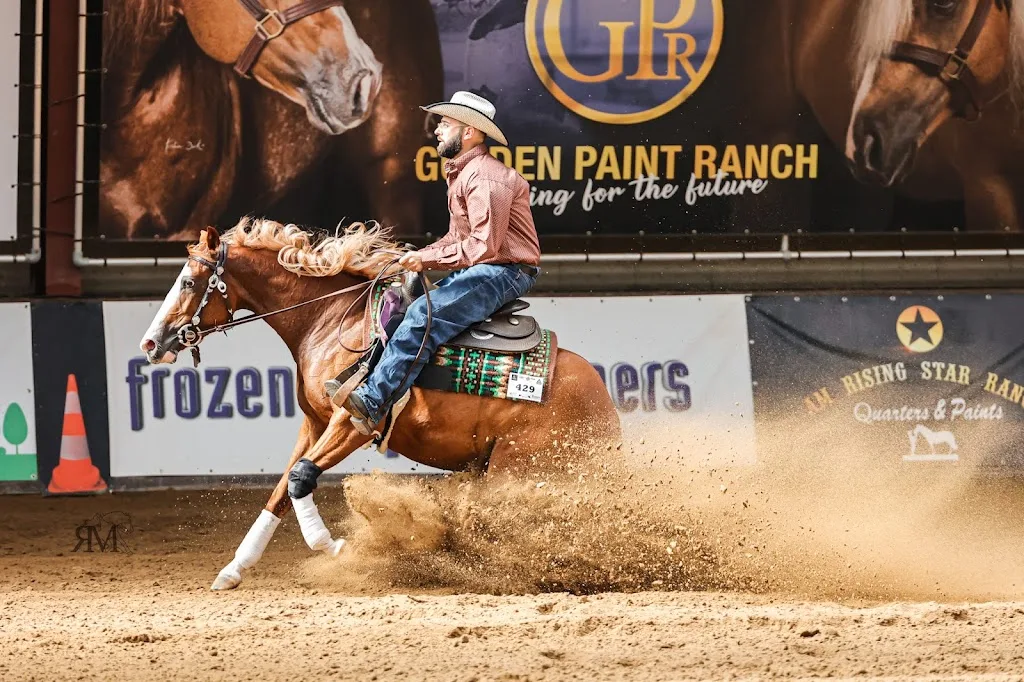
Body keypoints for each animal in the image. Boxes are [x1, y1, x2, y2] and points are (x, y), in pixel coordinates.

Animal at [137, 219, 621, 590]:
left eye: (188, 281)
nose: (150, 343)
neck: (331, 320)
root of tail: (603, 402)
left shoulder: (352, 422)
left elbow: (300, 479)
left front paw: (338, 548)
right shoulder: (313, 425)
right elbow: (280, 490)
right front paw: (234, 568)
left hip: (518, 467)